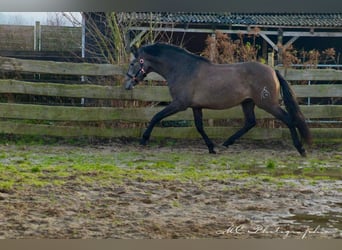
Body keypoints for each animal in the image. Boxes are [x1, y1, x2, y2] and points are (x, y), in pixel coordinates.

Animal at [123, 43, 312, 156]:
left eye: (132, 63)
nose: (127, 84)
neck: (183, 69)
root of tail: (273, 71)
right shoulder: (195, 107)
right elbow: (199, 127)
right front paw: (211, 147)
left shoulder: (179, 104)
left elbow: (156, 116)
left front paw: (144, 139)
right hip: (248, 103)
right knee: (250, 122)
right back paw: (226, 143)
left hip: (268, 103)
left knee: (288, 119)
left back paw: (301, 148)